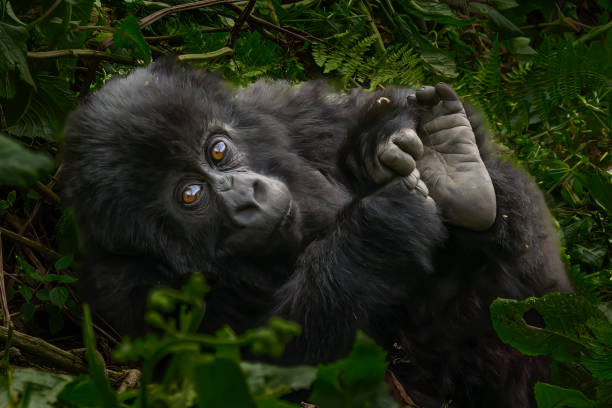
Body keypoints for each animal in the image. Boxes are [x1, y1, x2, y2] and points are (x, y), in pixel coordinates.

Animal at [62, 61, 568, 408]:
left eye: (218, 150)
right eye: (190, 195)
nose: (247, 197)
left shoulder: (280, 107)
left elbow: (350, 113)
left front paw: (381, 140)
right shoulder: (132, 290)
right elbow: (270, 369)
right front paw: (383, 224)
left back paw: (460, 174)